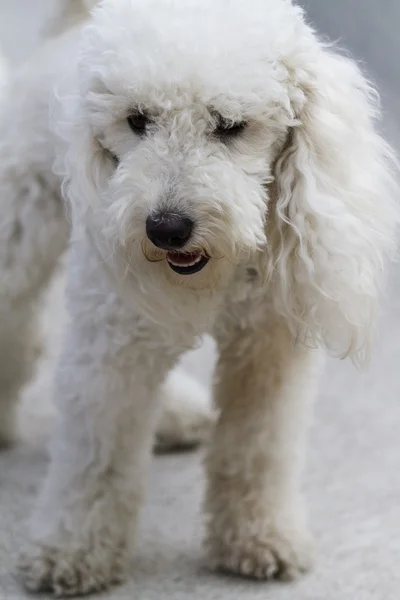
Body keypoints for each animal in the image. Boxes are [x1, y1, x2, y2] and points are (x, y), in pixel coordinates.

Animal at [0, 0, 398, 596]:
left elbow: (259, 447)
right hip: (20, 240)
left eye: (230, 126)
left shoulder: (268, 352)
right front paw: (71, 551)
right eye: (137, 120)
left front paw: (259, 537)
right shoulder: (110, 349)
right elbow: (97, 460)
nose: (166, 228)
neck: (216, 274)